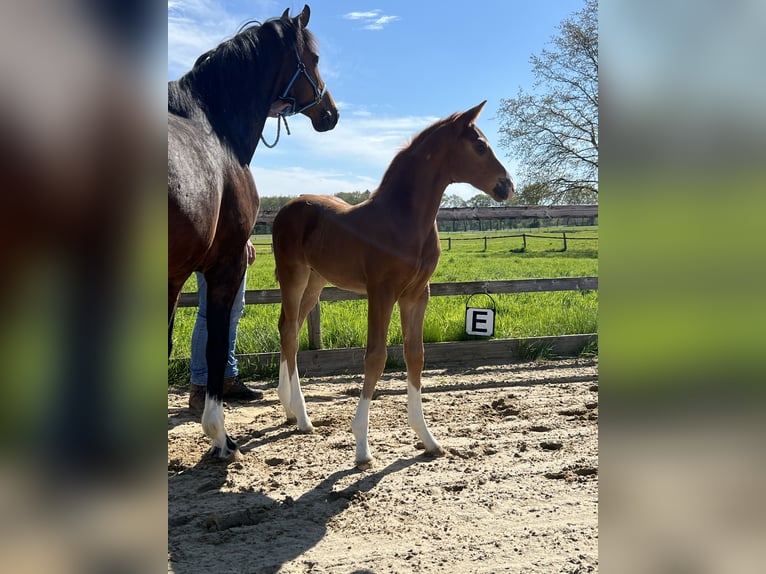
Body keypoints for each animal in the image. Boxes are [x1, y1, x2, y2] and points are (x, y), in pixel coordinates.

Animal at [168, 4, 340, 462]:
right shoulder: (224, 264)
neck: (215, 130)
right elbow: (214, 344)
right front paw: (219, 435)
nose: (331, 113)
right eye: (314, 59)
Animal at [272, 101, 520, 468]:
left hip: (316, 280)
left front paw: (428, 439)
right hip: (294, 274)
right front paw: (362, 447)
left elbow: (415, 355)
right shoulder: (382, 292)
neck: (405, 220)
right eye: (479, 146)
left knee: (290, 327)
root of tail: (285, 209)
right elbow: (376, 357)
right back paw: (302, 417)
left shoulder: (417, 295)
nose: (507, 186)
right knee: (289, 330)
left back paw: (289, 410)